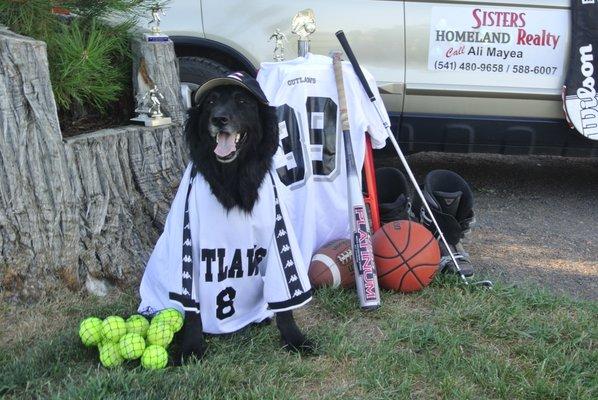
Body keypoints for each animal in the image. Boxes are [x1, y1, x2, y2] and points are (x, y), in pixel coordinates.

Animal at [178, 82, 314, 362]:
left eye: (242, 101)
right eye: (210, 101)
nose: (219, 119)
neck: (233, 175)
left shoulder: (277, 234)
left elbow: (285, 306)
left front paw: (294, 338)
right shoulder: (188, 244)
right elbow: (191, 309)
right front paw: (191, 347)